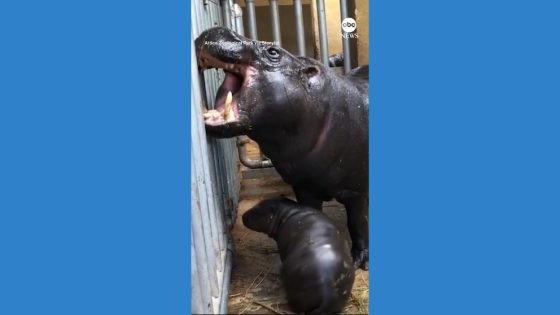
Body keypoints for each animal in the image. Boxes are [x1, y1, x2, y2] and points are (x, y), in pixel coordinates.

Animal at [195, 26, 370, 272]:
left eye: (273, 51)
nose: (218, 28)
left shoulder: (356, 191)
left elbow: (357, 222)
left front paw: (360, 262)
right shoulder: (305, 187)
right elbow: (312, 212)